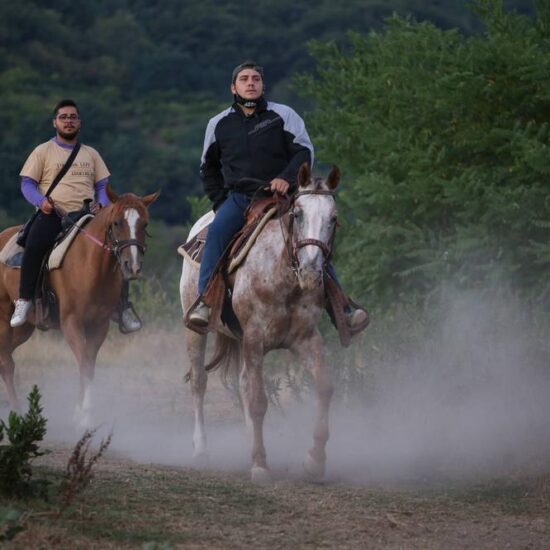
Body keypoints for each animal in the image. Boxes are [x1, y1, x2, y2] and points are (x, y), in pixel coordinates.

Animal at [0, 188, 160, 430]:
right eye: (116, 223)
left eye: (145, 224)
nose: (132, 266)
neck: (90, 265)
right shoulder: (71, 323)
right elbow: (84, 363)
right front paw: (85, 416)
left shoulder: (99, 325)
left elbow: (88, 365)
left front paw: (80, 414)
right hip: (3, 318)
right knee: (7, 364)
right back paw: (16, 412)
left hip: (24, 328)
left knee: (7, 357)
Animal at [181, 164, 338, 484]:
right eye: (297, 214)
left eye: (333, 219)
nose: (311, 271)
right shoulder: (255, 339)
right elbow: (257, 401)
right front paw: (261, 466)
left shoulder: (306, 339)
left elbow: (324, 387)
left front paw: (315, 462)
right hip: (195, 332)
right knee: (200, 382)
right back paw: (201, 450)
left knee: (241, 383)